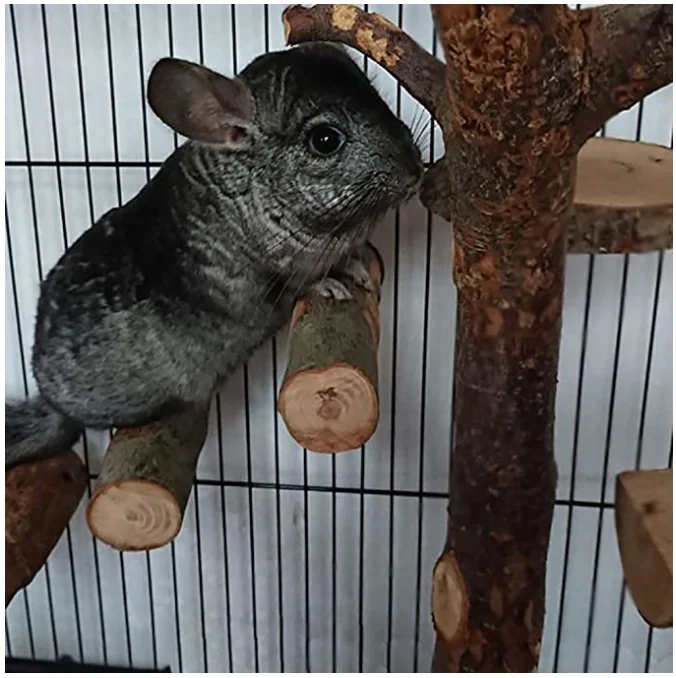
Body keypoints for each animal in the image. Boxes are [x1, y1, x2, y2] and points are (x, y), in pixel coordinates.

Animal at [5, 43, 423, 468]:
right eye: (325, 139)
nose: (416, 170)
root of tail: (52, 402)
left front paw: (357, 267)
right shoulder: (275, 276)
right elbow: (304, 284)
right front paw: (333, 285)